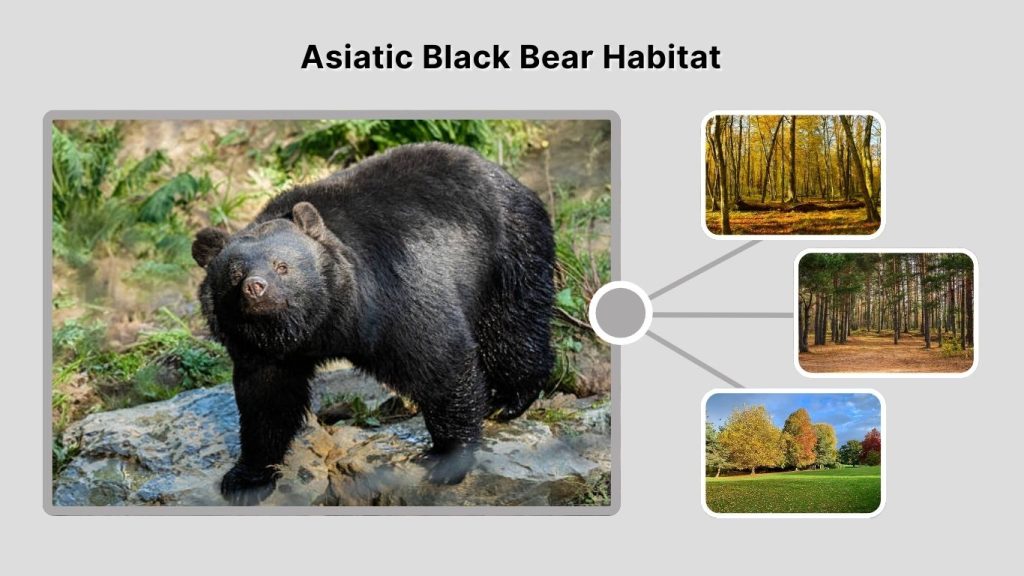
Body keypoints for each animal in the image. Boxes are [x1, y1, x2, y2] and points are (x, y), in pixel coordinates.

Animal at [191, 142, 555, 505]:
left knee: (511, 324)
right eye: (234, 275)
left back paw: (508, 399)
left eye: (282, 266)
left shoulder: (390, 295)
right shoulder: (264, 351)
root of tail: (499, 171)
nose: (256, 288)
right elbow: (266, 400)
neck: (324, 321)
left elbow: (439, 360)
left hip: (506, 250)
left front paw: (446, 457)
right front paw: (246, 479)